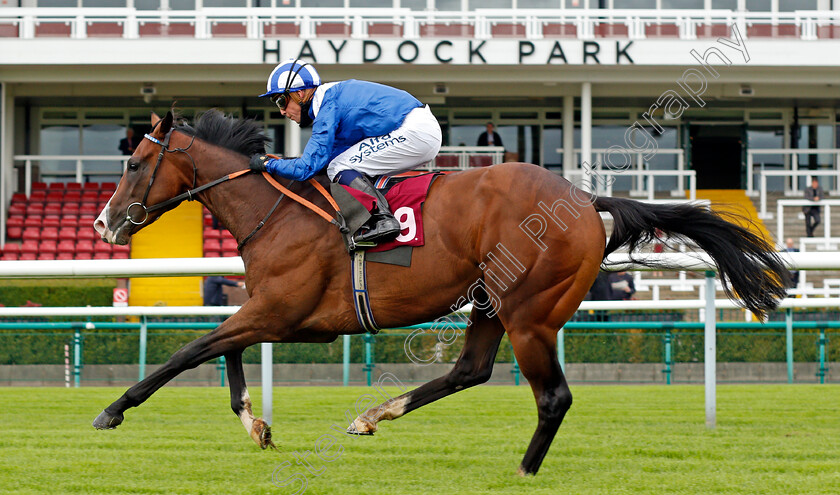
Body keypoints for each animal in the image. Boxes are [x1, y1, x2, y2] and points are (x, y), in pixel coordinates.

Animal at [92, 111, 788, 476]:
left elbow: (190, 351)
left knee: (552, 396)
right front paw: (256, 425)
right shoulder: (268, 312)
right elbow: (222, 354)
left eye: (133, 163)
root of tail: (586, 202)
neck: (277, 210)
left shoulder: (280, 312)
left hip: (529, 313)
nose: (103, 223)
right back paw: (375, 415)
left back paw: (523, 471)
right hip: (490, 302)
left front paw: (112, 410)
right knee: (470, 370)